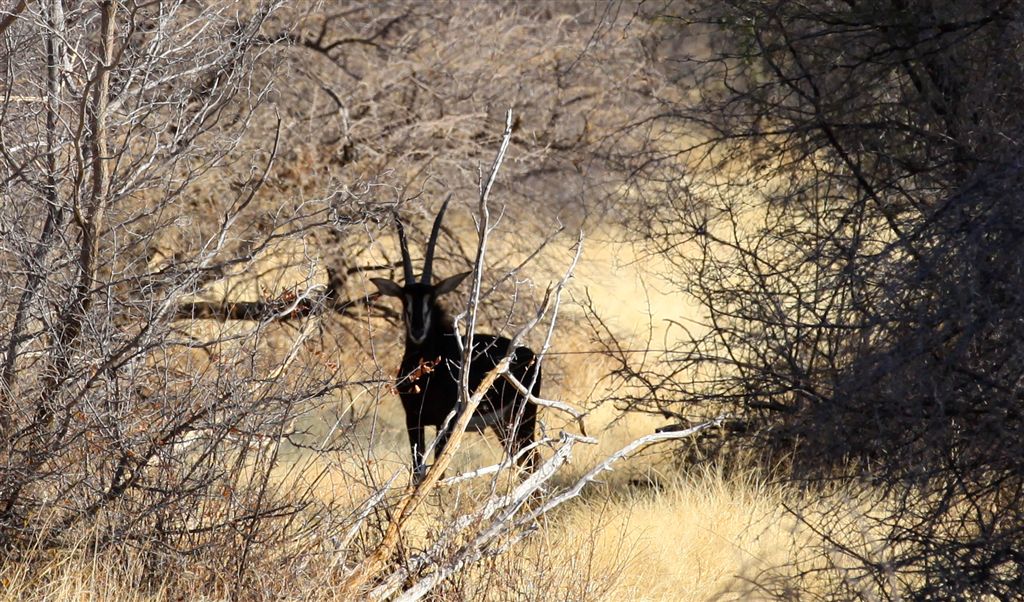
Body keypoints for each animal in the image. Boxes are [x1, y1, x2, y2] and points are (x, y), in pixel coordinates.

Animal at [372, 197, 540, 479]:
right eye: (405, 299)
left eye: (431, 298)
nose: (417, 330)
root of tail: (532, 356)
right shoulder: (413, 420)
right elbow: (418, 471)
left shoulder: (445, 422)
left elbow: (435, 473)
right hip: (503, 426)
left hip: (523, 419)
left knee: (533, 463)